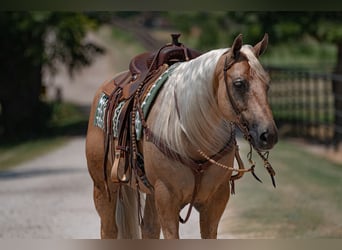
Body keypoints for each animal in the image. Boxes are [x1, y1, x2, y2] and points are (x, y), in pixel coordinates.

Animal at [85, 33, 278, 238]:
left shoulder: (215, 200)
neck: (191, 138)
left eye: (267, 84)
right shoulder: (167, 198)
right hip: (103, 188)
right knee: (109, 229)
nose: (268, 135)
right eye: (239, 83)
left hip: (150, 193)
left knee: (149, 229)